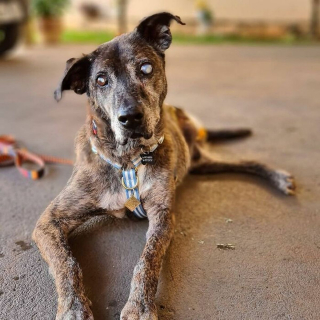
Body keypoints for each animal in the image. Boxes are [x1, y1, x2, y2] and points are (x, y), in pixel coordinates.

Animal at [32, 12, 296, 320]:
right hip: (201, 164)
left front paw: (140, 307)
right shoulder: (49, 221)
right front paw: (73, 308)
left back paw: (278, 178)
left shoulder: (162, 215)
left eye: (146, 68)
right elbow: (67, 263)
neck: (127, 161)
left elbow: (147, 260)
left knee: (247, 162)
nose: (130, 118)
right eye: (100, 80)